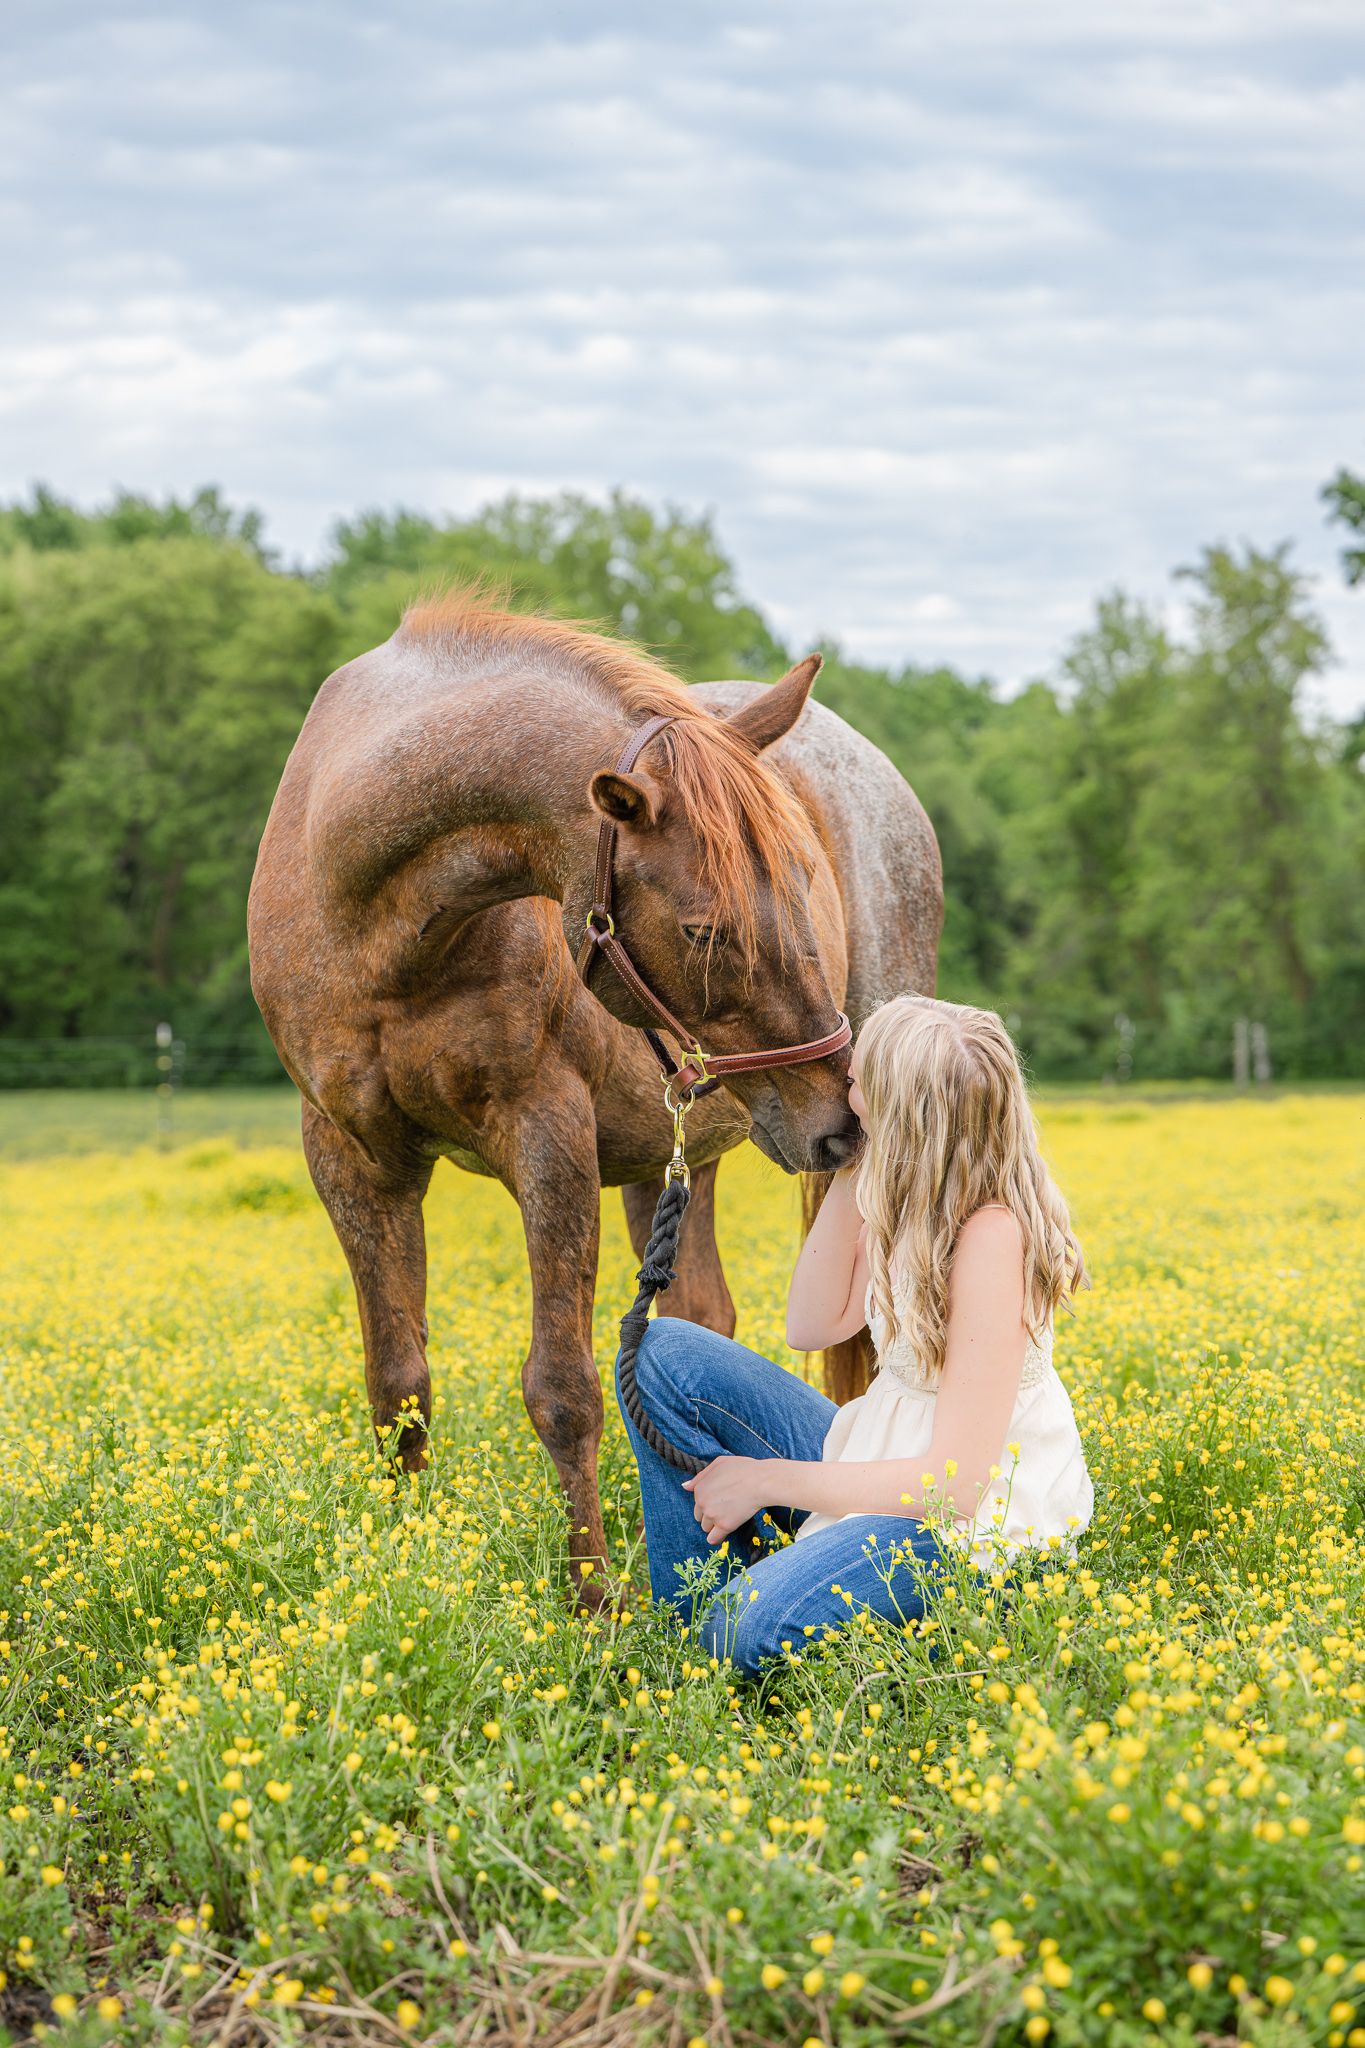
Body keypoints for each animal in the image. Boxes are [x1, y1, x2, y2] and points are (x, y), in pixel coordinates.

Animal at [247, 594, 942, 1604]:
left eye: (803, 887)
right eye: (703, 930)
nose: (838, 1118)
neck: (371, 917)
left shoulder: (548, 1137)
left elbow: (563, 1389)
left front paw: (594, 1604)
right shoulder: (352, 1158)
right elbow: (398, 1384)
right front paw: (410, 1560)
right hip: (678, 1150)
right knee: (696, 1316)